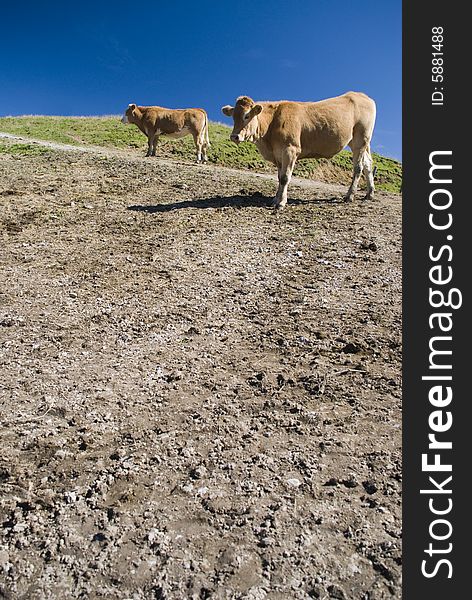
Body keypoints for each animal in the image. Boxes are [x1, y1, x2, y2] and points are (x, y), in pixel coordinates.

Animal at [221, 91, 376, 209]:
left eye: (247, 116)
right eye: (233, 117)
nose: (234, 136)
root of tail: (362, 95)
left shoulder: (290, 149)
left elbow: (285, 177)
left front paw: (281, 203)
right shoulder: (278, 154)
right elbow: (279, 177)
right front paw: (275, 199)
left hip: (361, 139)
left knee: (358, 167)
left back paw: (350, 195)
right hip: (359, 142)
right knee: (368, 164)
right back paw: (369, 193)